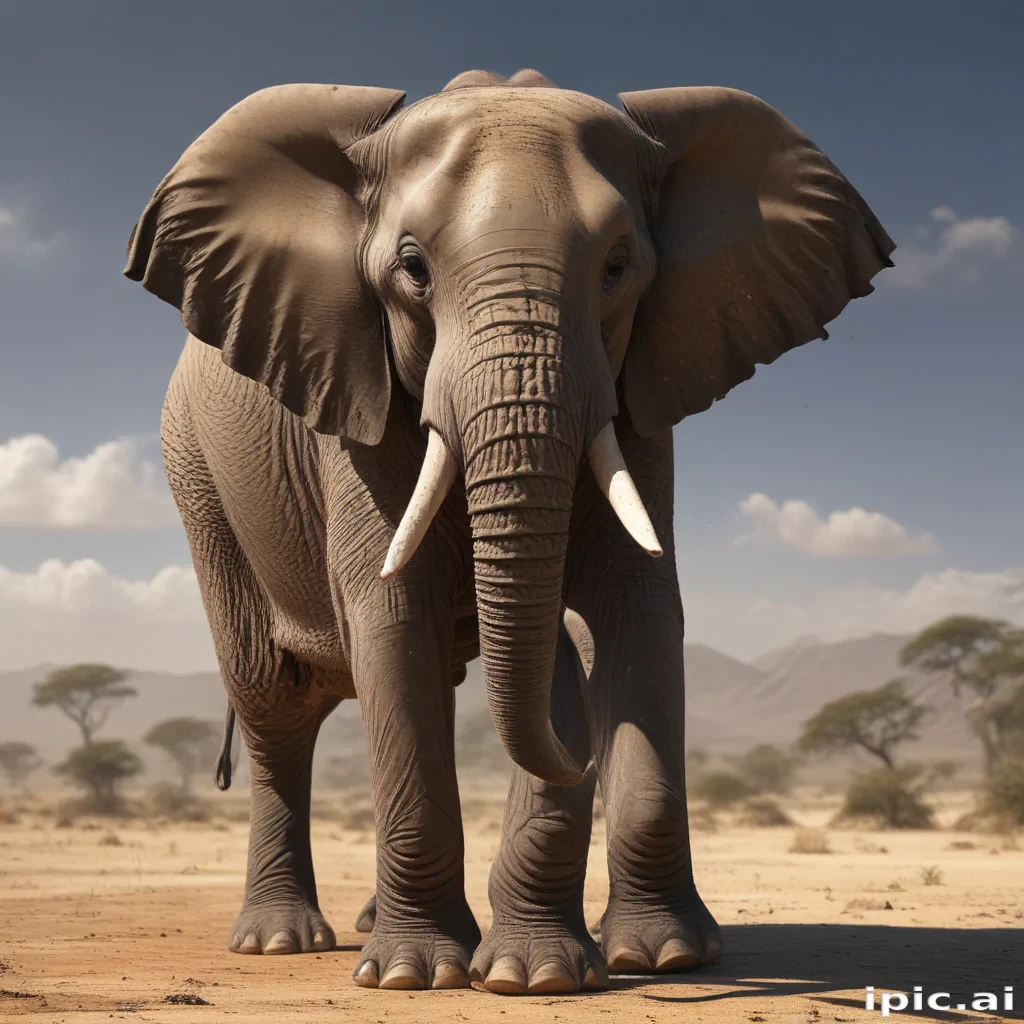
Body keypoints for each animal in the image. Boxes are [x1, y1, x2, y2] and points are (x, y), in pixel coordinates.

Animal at [125, 67, 893, 994]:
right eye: (412, 269)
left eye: (618, 267)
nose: (582, 753)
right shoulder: (358, 401)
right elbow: (394, 612)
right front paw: (417, 976)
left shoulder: (641, 389)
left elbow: (633, 602)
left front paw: (635, 961)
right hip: (198, 480)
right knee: (275, 706)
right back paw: (282, 941)